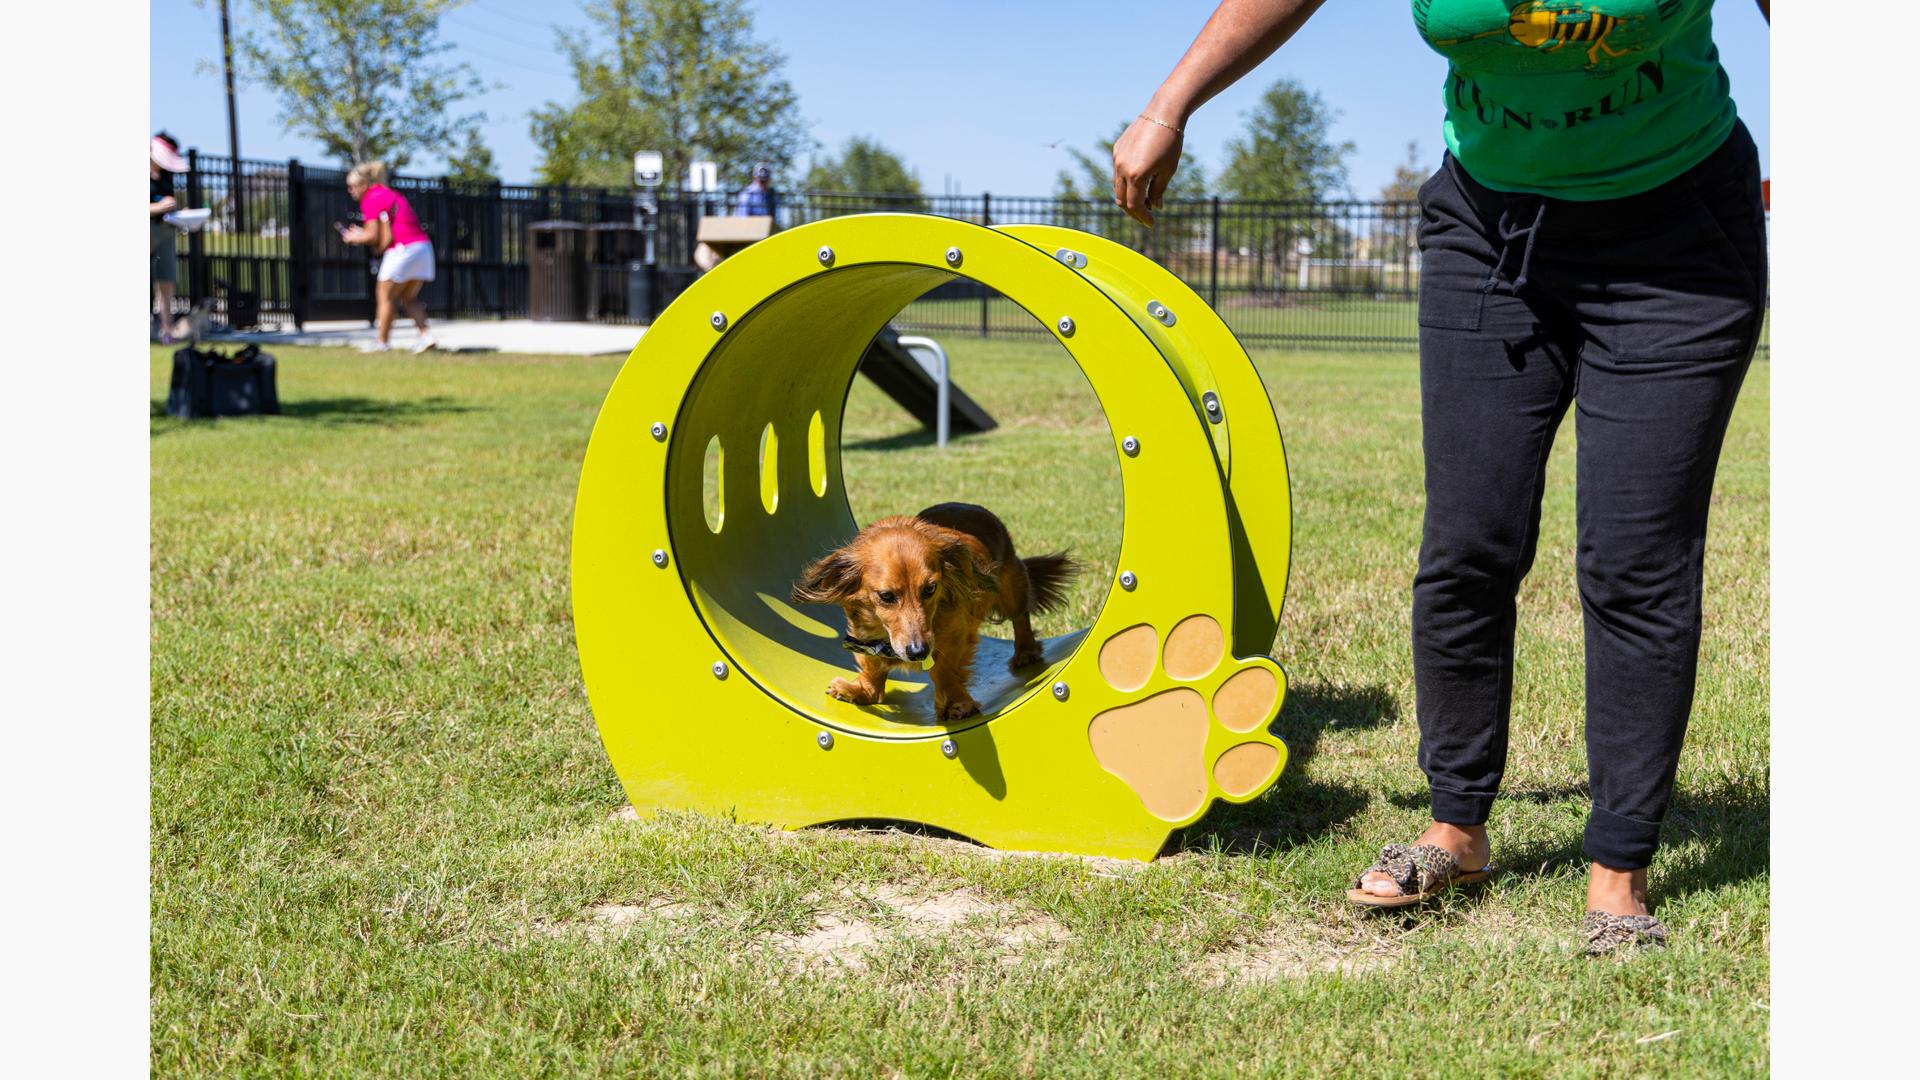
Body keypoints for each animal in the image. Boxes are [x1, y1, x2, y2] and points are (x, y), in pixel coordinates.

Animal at [787, 499, 1075, 718]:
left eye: (930, 589)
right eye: (886, 596)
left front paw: (956, 704)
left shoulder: (956, 636)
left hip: (1011, 585)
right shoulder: (865, 636)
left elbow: (943, 669)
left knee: (1020, 617)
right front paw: (862, 691)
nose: (918, 651)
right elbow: (872, 666)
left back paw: (1025, 651)